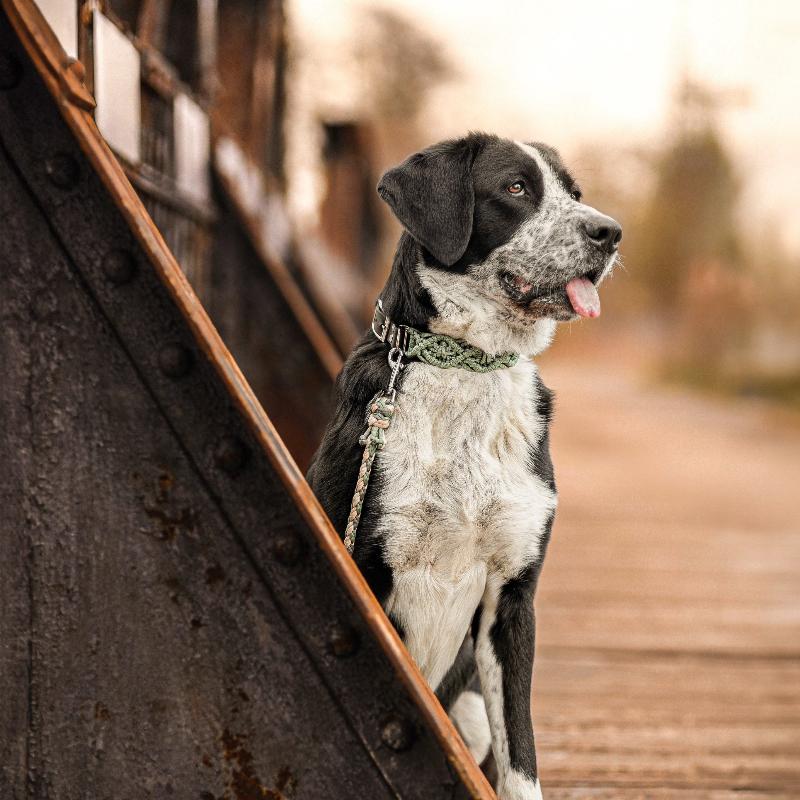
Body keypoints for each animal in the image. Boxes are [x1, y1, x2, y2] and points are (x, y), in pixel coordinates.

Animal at [310, 134, 620, 796]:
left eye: (574, 192)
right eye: (515, 188)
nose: (610, 232)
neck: (466, 364)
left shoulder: (512, 598)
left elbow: (521, 758)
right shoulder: (366, 573)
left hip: (472, 709)